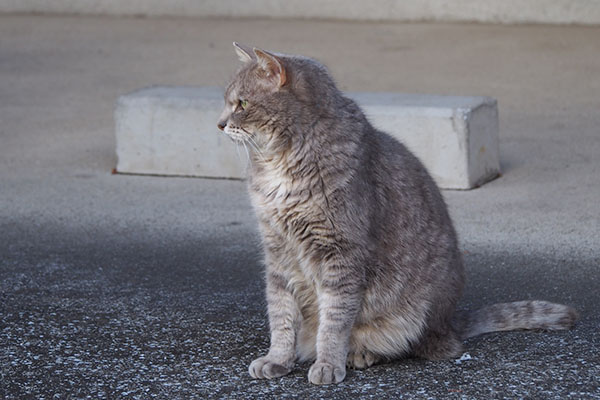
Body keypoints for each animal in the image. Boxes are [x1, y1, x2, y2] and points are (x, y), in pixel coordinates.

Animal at [216, 43, 576, 384]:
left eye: (242, 104)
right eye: (228, 102)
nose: (219, 124)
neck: (281, 164)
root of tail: (451, 321)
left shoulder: (340, 252)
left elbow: (333, 320)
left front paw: (328, 364)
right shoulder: (277, 251)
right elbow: (281, 314)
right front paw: (278, 359)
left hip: (415, 314)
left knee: (417, 345)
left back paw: (361, 354)